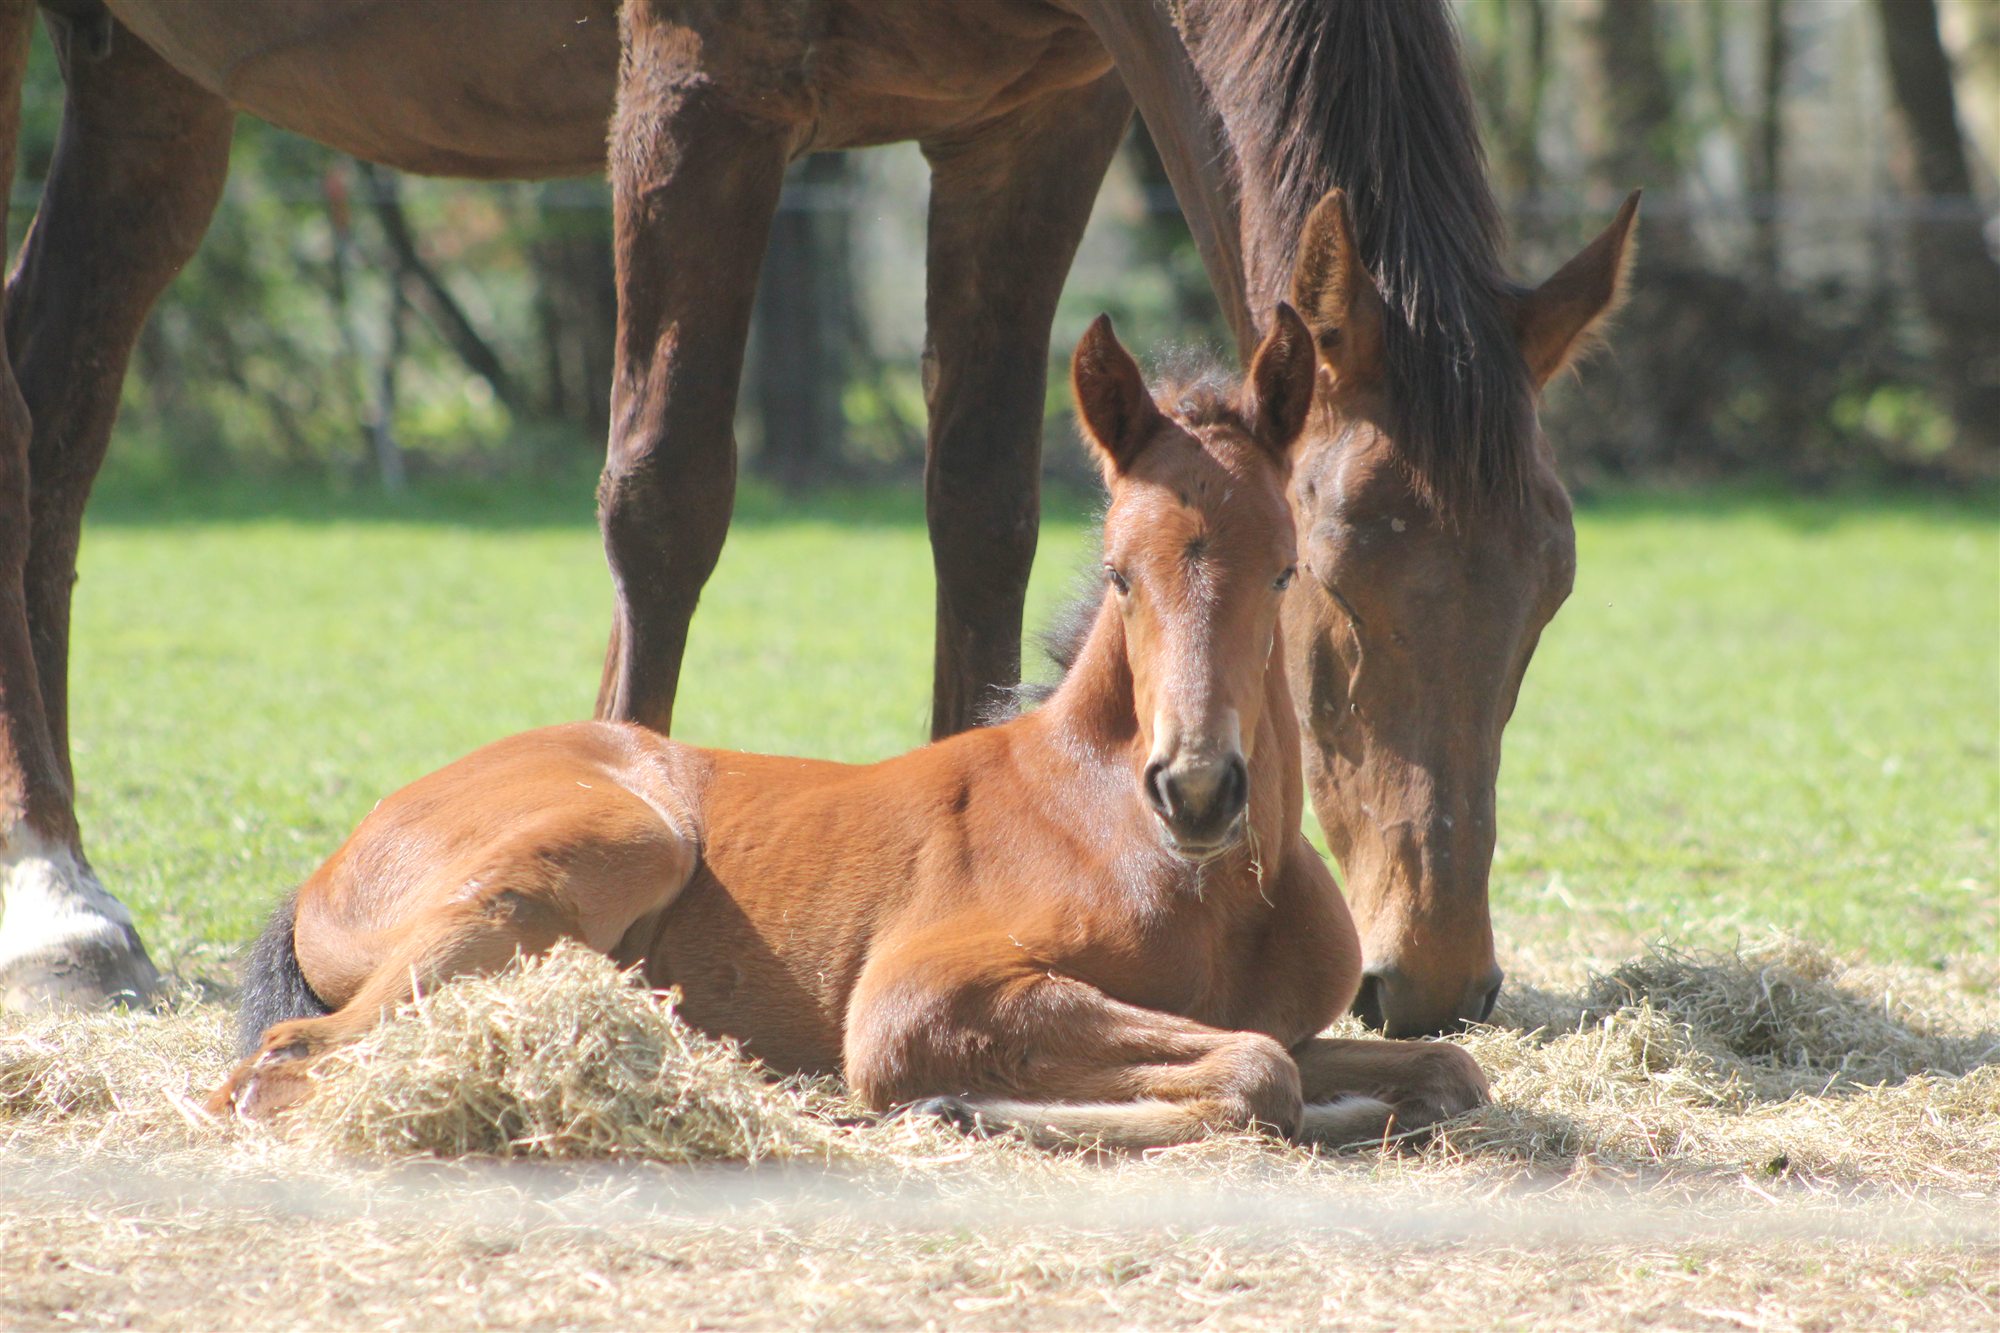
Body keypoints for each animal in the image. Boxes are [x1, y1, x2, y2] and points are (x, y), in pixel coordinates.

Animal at [0, 0, 1632, 1037]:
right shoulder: (695, 89)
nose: (1437, 974)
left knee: (62, 393)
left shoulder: (1034, 121)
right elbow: (664, 498)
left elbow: (980, 496)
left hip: (151, 82)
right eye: (1332, 581)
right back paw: (54, 892)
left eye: (1552, 591)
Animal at [210, 310, 1490, 1147]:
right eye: (1122, 575)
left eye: (1284, 570)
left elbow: (1441, 1061)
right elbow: (1259, 1070)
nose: (1198, 789)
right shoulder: (917, 996)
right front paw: (952, 1102)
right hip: (620, 844)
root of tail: (331, 861)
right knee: (283, 1064)